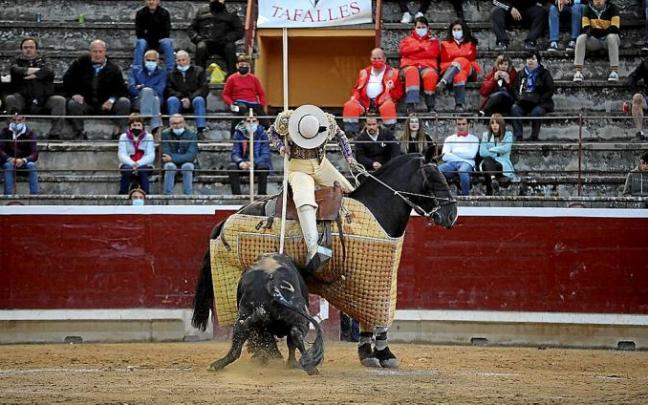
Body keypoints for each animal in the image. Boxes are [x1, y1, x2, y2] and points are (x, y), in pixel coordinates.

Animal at [192, 153, 457, 368]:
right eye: (436, 179)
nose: (452, 215)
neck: (375, 211)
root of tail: (226, 219)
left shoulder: (374, 281)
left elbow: (371, 319)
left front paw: (369, 354)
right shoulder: (372, 283)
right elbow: (379, 320)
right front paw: (383, 355)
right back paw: (267, 353)